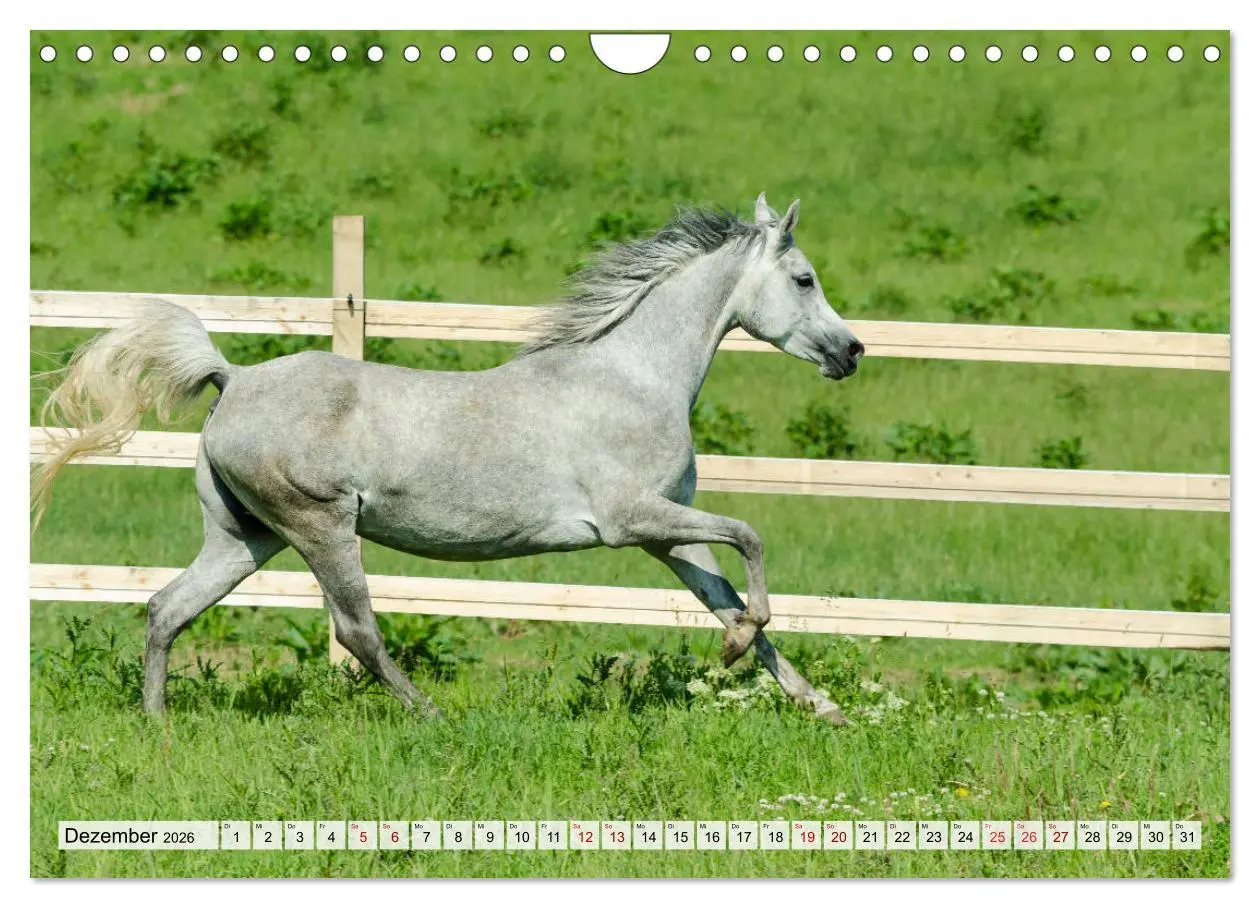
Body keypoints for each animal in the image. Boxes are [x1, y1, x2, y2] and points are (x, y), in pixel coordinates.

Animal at [33, 193, 865, 725]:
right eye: (804, 279)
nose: (851, 352)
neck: (632, 375)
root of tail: (232, 378)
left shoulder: (668, 532)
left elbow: (726, 596)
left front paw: (819, 704)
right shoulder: (634, 520)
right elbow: (752, 541)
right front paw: (741, 648)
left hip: (246, 537)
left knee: (167, 608)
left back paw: (158, 725)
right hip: (320, 527)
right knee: (356, 630)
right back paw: (431, 717)